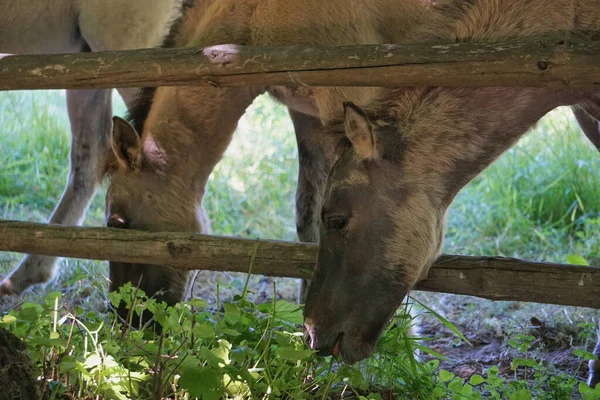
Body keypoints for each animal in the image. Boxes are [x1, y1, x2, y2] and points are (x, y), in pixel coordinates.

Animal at [98, 0, 600, 388]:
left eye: (117, 222)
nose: (129, 322)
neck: (254, 14)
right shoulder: (310, 118)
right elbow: (305, 220)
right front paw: (299, 346)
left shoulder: (357, 90)